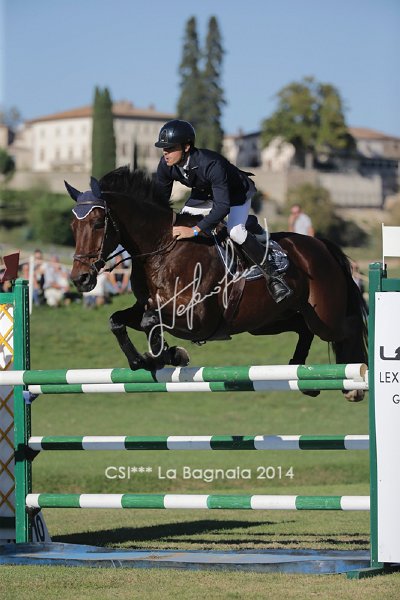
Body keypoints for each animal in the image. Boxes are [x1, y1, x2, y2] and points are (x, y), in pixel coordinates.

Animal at [66, 166, 368, 401]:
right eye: (72, 226)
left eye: (97, 223)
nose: (80, 278)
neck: (162, 249)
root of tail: (321, 245)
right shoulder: (147, 305)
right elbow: (118, 321)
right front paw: (144, 359)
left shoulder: (197, 316)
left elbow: (150, 321)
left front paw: (168, 355)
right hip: (269, 321)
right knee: (303, 329)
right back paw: (302, 374)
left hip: (325, 316)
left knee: (350, 327)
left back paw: (356, 381)